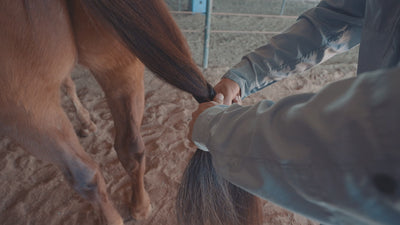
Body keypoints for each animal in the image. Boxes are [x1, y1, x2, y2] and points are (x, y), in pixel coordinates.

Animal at [0, 0, 260, 224]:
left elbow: (68, 84)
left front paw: (85, 122)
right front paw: (86, 121)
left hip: (26, 109)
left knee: (86, 176)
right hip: (121, 66)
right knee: (131, 149)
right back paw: (141, 207)